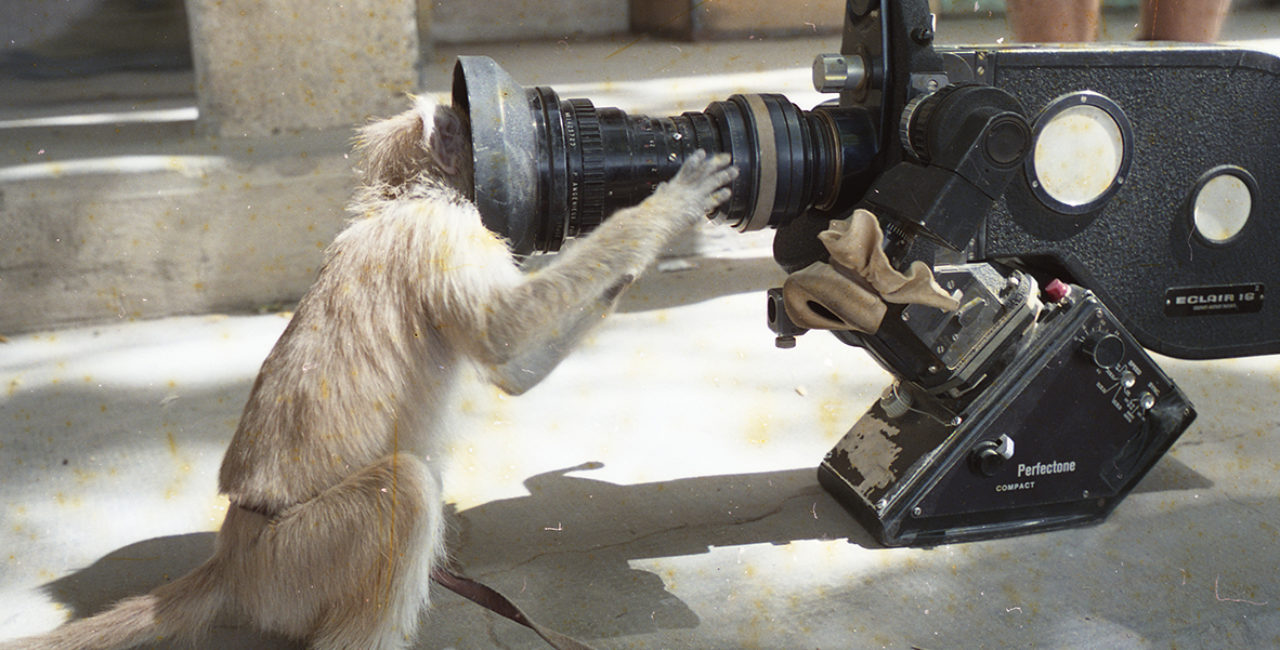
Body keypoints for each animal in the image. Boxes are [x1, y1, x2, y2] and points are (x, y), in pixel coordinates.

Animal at [0, 95, 737, 650]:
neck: (401, 196)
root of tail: (235, 557)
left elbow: (513, 367)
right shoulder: (445, 229)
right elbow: (503, 335)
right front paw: (669, 208)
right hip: (297, 563)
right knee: (406, 491)